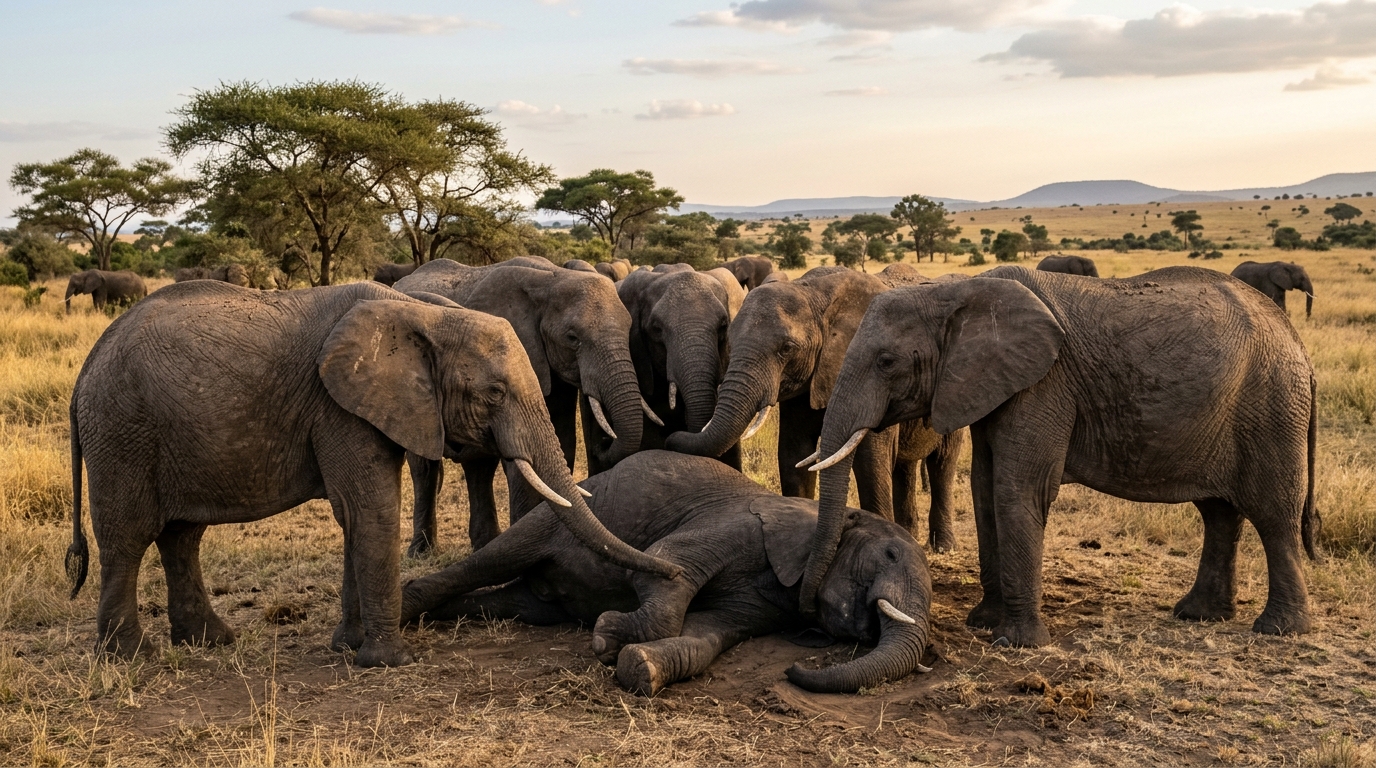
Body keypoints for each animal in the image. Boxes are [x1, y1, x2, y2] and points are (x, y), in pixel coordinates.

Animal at [394, 257, 655, 554]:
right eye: (572, 338)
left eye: (628, 328)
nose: (603, 443)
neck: (553, 279)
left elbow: (562, 442)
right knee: (424, 468)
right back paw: (421, 552)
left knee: (479, 466)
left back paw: (485, 543)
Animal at [402, 451, 934, 696]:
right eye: (890, 554)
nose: (793, 668)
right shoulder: (736, 523)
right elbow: (667, 564)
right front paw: (606, 637)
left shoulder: (769, 600)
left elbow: (706, 632)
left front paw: (641, 667)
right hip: (556, 516)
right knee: (495, 559)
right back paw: (406, 607)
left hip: (538, 601)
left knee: (513, 601)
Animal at [666, 267, 966, 552]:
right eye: (727, 338)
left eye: (786, 349)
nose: (671, 438)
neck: (813, 292)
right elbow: (793, 454)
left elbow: (871, 461)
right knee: (905, 465)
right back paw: (911, 535)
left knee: (942, 462)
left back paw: (942, 546)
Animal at [803, 265, 1319, 647]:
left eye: (887, 362)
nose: (812, 609)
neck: (956, 289)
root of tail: (1297, 342)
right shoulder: (992, 386)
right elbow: (985, 488)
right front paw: (983, 622)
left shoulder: (1043, 385)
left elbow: (1017, 490)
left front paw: (1016, 643)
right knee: (1219, 513)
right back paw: (1199, 615)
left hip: (1272, 406)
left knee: (1274, 512)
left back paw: (1278, 630)